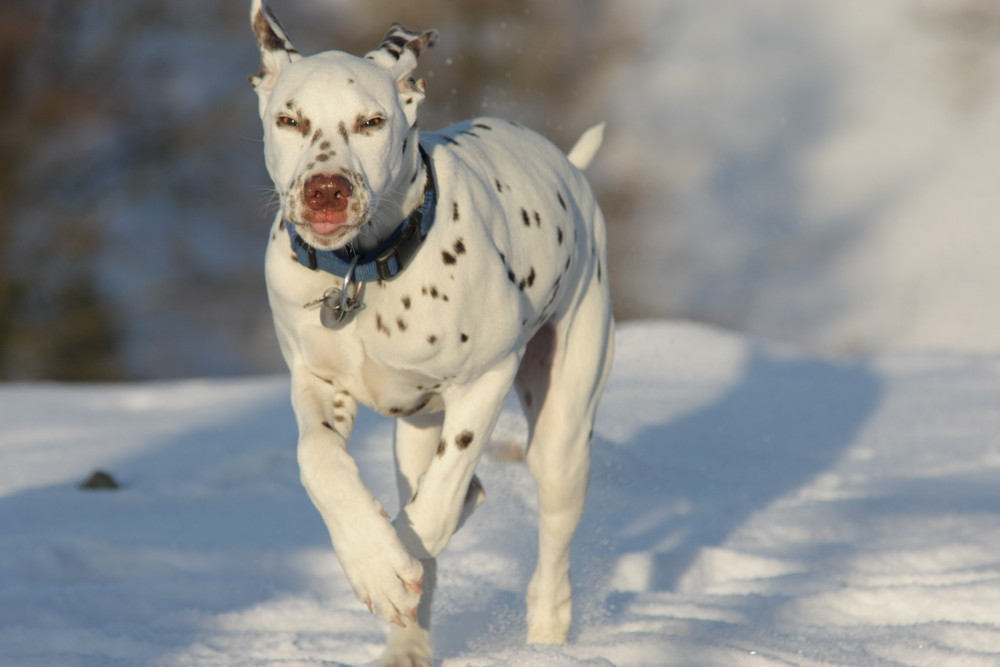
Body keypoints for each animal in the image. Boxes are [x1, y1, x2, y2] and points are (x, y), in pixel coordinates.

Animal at [248, 2, 608, 664]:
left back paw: (545, 633)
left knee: (548, 542)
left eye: (371, 121)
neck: (364, 272)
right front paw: (372, 557)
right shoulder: (317, 383)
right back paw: (408, 642)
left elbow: (440, 502)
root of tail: (570, 166)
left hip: (563, 430)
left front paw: (389, 563)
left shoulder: (487, 377)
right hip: (413, 434)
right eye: (289, 119)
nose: (327, 190)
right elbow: (319, 460)